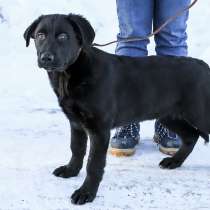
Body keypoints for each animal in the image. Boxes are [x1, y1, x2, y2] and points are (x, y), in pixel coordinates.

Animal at [24, 14, 210, 205]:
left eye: (63, 36)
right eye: (40, 35)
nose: (46, 58)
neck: (68, 75)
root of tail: (205, 66)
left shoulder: (99, 129)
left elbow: (94, 163)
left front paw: (86, 192)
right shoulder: (76, 123)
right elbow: (76, 149)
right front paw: (71, 170)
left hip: (199, 113)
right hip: (169, 115)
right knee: (191, 136)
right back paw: (174, 161)